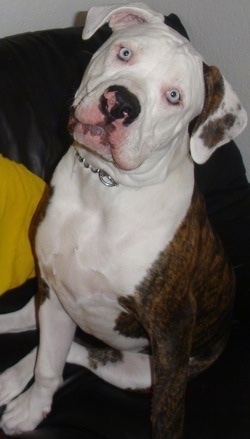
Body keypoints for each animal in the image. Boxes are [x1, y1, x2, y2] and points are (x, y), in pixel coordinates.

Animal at [0, 3, 247, 439]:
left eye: (174, 97)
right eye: (125, 53)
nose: (121, 103)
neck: (105, 187)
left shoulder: (171, 334)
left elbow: (166, 414)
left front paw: (28, 405)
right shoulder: (56, 289)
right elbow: (48, 367)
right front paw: (31, 410)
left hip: (139, 370)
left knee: (80, 351)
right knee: (52, 340)